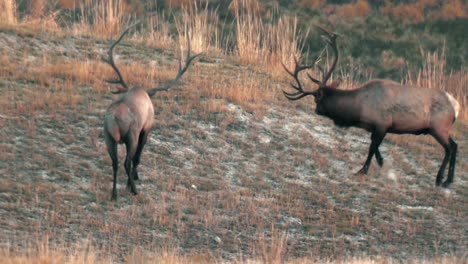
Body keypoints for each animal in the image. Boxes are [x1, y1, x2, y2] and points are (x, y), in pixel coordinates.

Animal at [103, 24, 201, 199]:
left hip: (108, 137)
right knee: (127, 162)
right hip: (131, 135)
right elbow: (137, 158)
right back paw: (134, 189)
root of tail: (113, 118)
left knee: (115, 163)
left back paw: (114, 194)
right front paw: (134, 179)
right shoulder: (146, 129)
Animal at [284, 26, 458, 188]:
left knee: (449, 148)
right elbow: (375, 147)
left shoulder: (382, 123)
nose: (316, 110)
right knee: (455, 146)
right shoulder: (376, 127)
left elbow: (371, 148)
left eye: (317, 99)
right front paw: (381, 162)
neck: (359, 109)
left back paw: (440, 179)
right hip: (440, 129)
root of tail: (455, 105)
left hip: (438, 127)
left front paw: (362, 170)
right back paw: (448, 180)